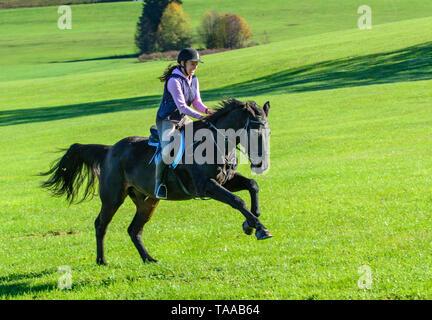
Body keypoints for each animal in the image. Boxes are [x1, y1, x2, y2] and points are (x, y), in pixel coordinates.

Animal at [39, 99, 270, 264]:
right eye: (255, 132)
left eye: (267, 132)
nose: (261, 164)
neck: (215, 143)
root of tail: (109, 150)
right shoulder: (206, 186)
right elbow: (237, 201)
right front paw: (259, 228)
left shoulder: (225, 181)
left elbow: (252, 185)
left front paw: (250, 223)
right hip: (113, 198)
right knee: (101, 224)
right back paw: (102, 260)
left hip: (147, 201)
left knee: (134, 230)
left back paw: (149, 259)